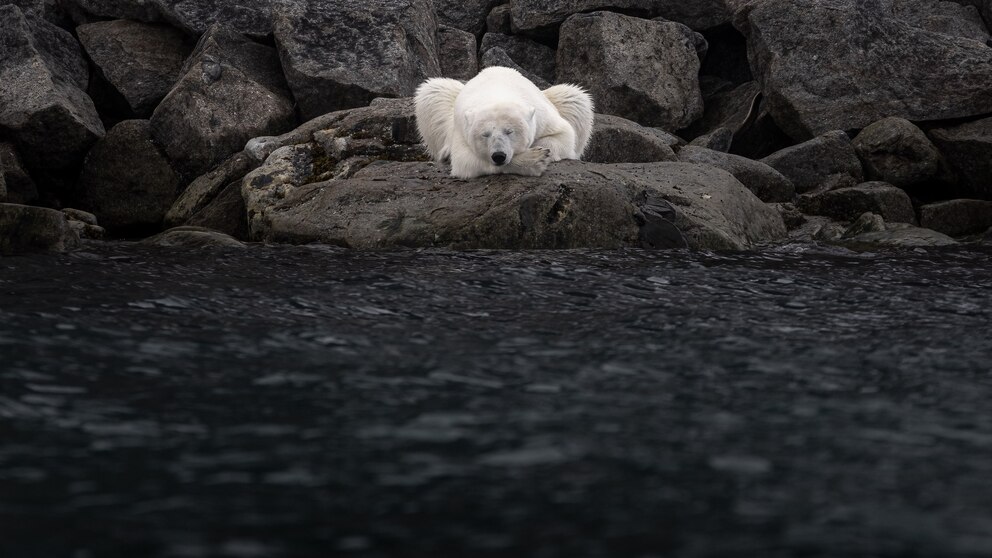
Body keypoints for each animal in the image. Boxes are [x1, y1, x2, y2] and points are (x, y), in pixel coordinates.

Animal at [412, 66, 592, 180]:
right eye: (485, 134)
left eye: (509, 131)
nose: (499, 155)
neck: (498, 92)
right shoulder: (462, 129)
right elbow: (465, 161)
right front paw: (534, 159)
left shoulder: (542, 116)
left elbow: (564, 136)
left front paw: (543, 151)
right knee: (434, 90)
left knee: (575, 97)